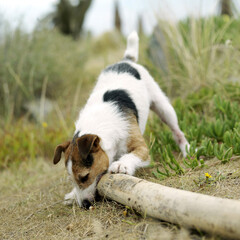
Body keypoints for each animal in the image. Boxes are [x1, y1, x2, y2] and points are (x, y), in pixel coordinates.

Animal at [52, 31, 189, 208]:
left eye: (84, 177)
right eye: (72, 180)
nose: (84, 205)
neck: (100, 124)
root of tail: (126, 60)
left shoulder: (141, 147)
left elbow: (133, 155)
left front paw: (121, 164)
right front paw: (72, 194)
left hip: (164, 108)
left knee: (177, 131)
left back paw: (186, 149)